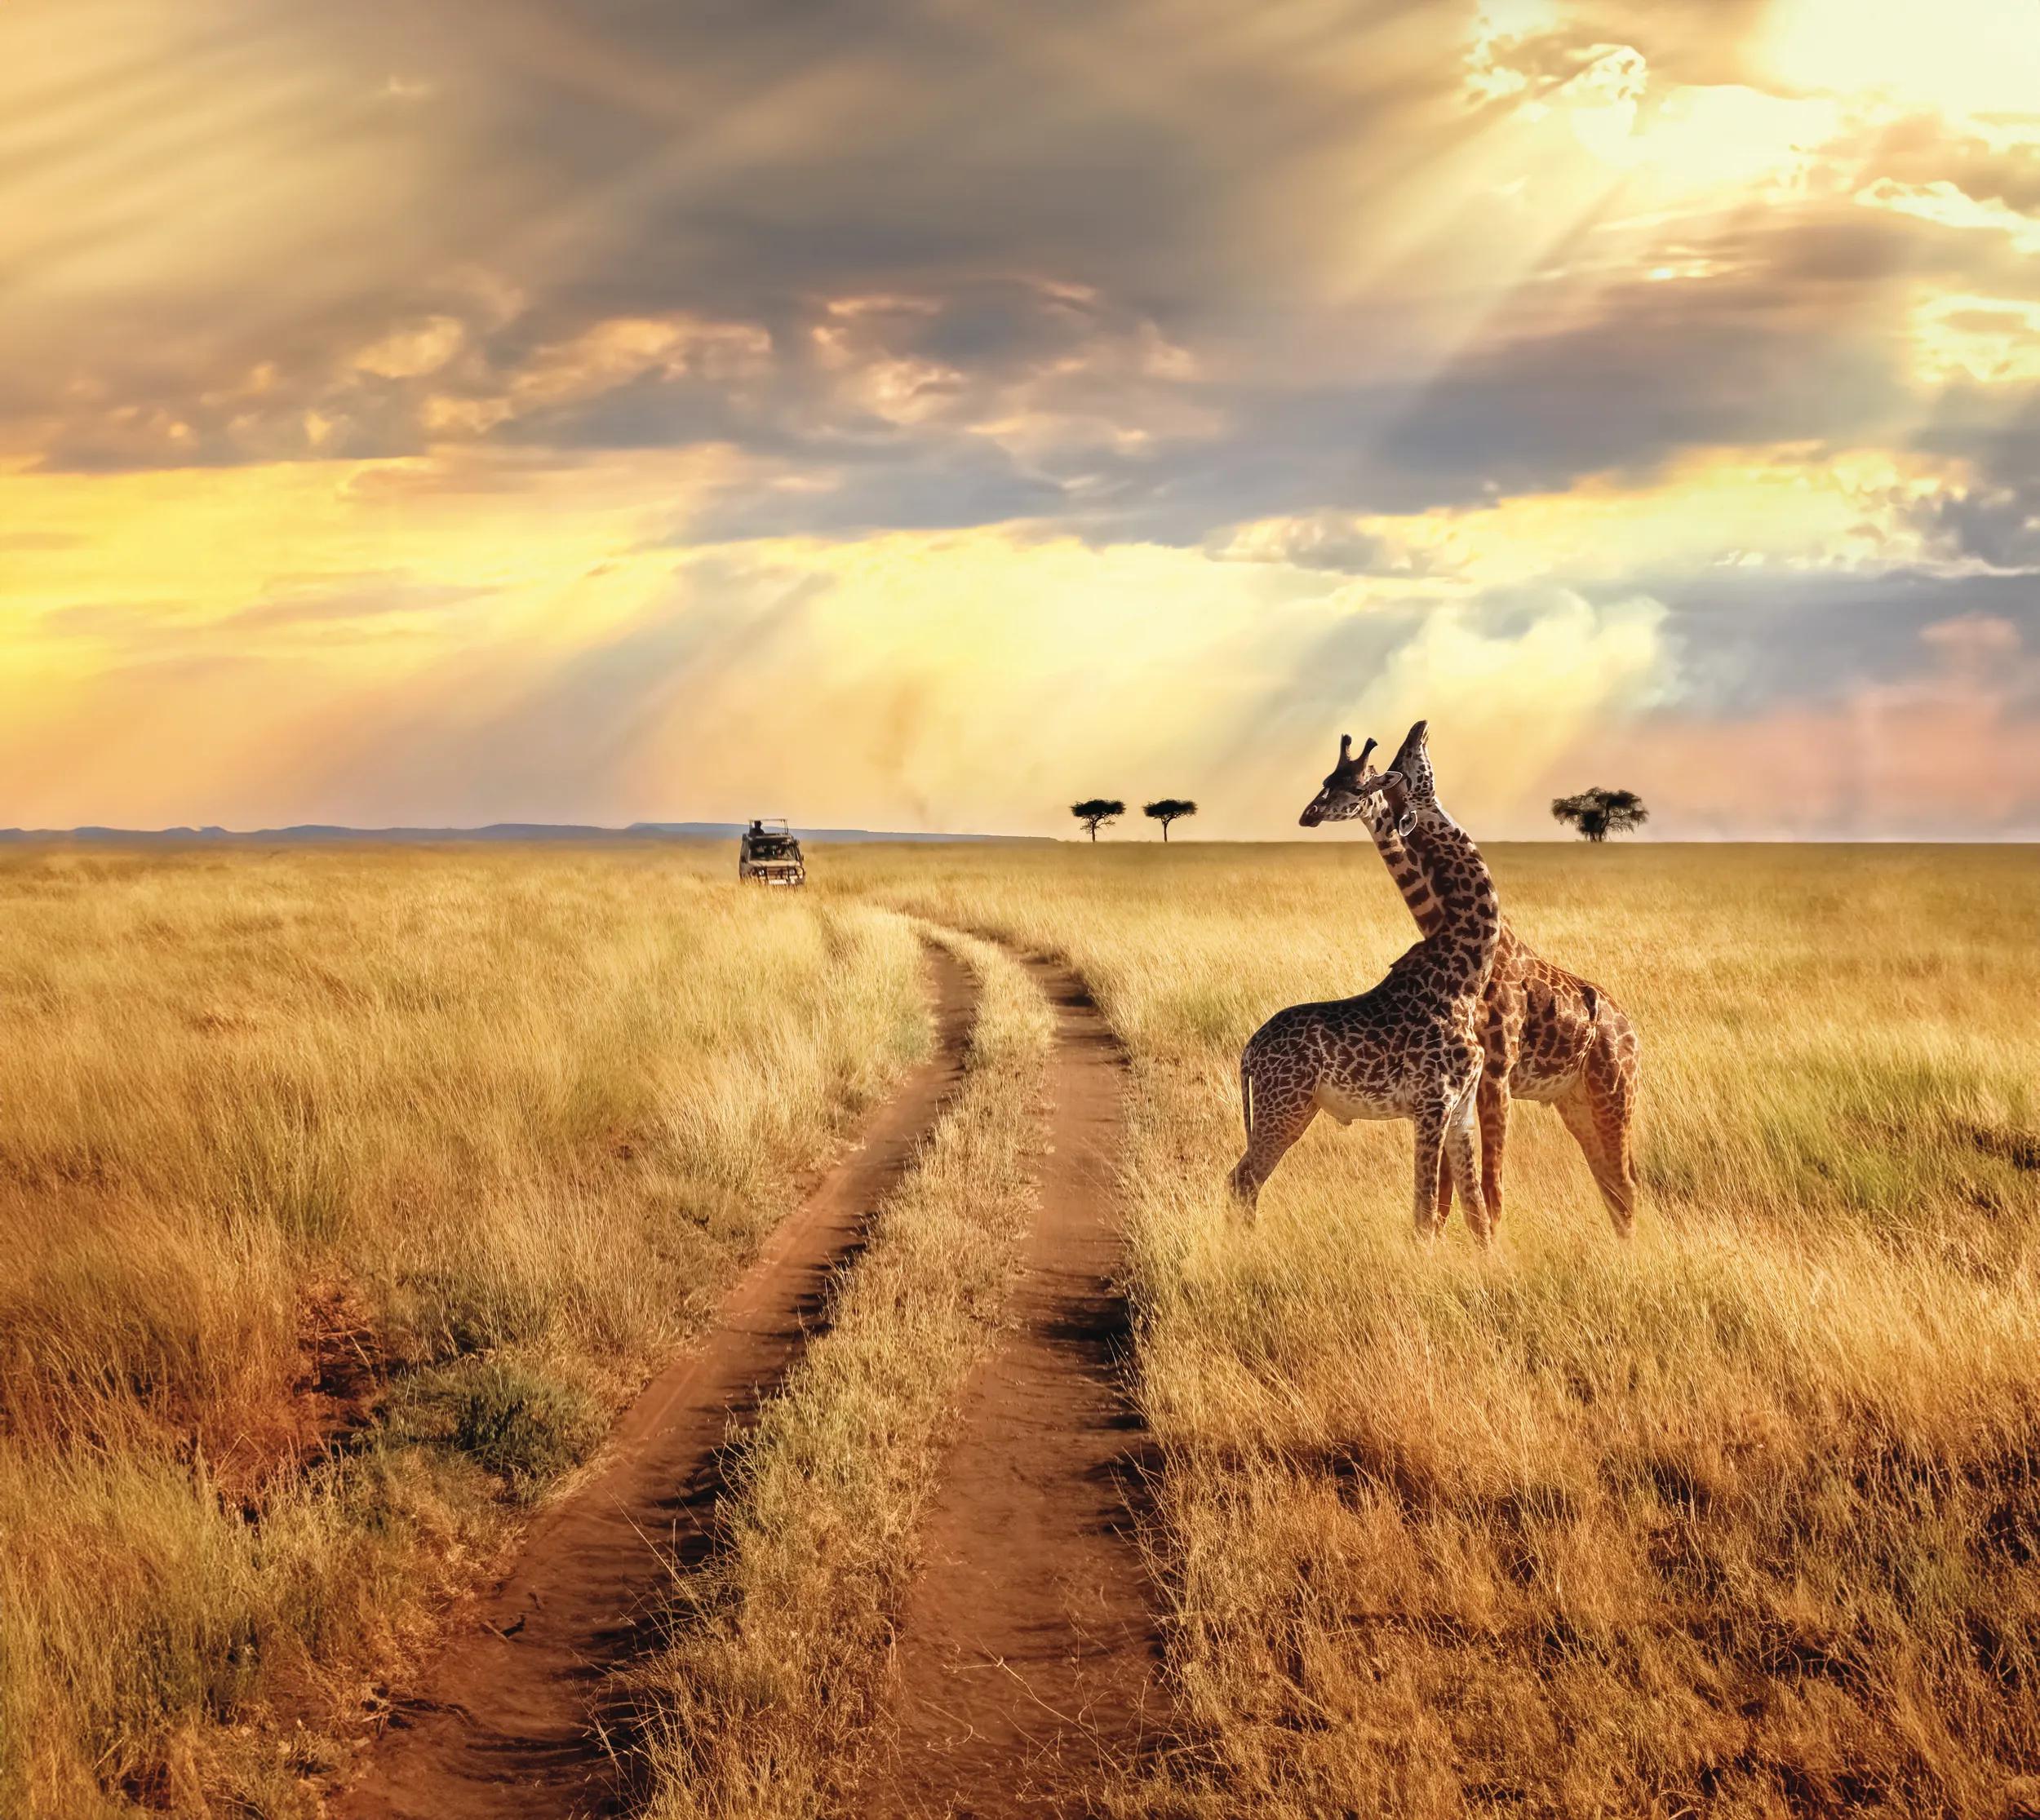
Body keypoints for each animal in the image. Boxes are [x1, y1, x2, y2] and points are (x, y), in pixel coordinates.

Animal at [1231, 720, 1503, 1240]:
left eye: (1360, 783)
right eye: (1404, 765)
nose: (1419, 727)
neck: (1465, 975)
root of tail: (1249, 1051)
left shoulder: (1460, 1111)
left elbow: (1476, 1216)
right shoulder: (1432, 1103)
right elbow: (1424, 1215)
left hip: (1292, 1107)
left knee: (1242, 1179)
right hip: (1285, 1105)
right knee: (1242, 1180)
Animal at [1299, 732, 1641, 1236]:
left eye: (1359, 784)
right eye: (1328, 779)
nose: (1310, 813)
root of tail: (1631, 1029)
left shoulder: (1494, 1074)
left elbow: (1486, 1188)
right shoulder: (1460, 1083)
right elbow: (1450, 1191)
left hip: (1614, 1092)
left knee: (1624, 1184)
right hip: (1573, 1100)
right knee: (1611, 1182)